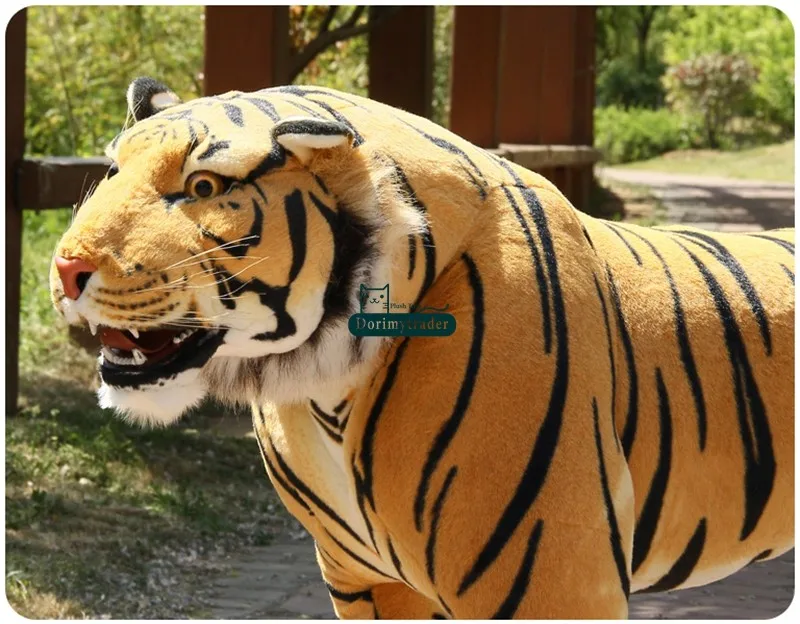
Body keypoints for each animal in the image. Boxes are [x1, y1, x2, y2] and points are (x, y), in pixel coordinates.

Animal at [50, 77, 794, 619]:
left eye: (203, 188)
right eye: (111, 173)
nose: (64, 268)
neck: (324, 387)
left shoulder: (551, 578)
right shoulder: (366, 581)